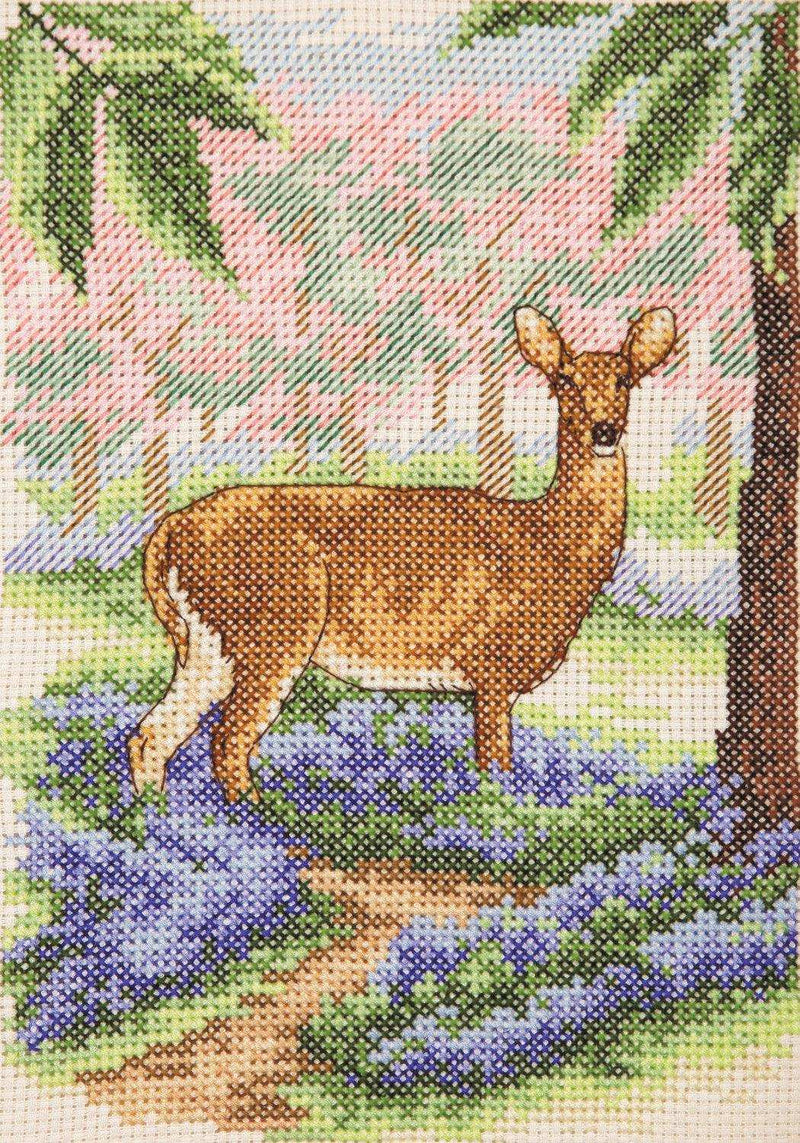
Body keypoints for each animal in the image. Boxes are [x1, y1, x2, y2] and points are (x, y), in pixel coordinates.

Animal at [128, 307, 676, 802]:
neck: (549, 547)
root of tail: (169, 531)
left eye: (625, 379)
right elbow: (495, 767)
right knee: (227, 738)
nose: (604, 430)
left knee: (152, 734)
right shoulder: (490, 666)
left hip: (208, 642)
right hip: (275, 625)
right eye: (565, 380)